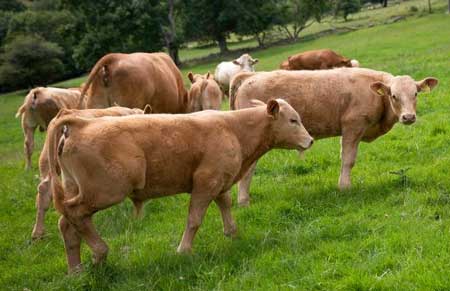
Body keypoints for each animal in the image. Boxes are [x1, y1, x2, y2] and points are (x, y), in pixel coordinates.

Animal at [45, 100, 312, 274]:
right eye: (293, 120)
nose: (309, 141)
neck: (233, 128)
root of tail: (81, 122)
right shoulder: (205, 183)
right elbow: (194, 219)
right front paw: (184, 250)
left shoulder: (220, 183)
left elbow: (225, 205)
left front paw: (233, 234)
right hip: (105, 192)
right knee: (76, 215)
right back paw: (100, 253)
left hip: (76, 188)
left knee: (67, 225)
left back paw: (76, 269)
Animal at [230, 67, 438, 206]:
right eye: (394, 95)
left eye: (416, 93)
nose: (408, 117)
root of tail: (251, 76)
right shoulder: (352, 126)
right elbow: (348, 160)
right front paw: (344, 187)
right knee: (248, 170)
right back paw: (243, 201)